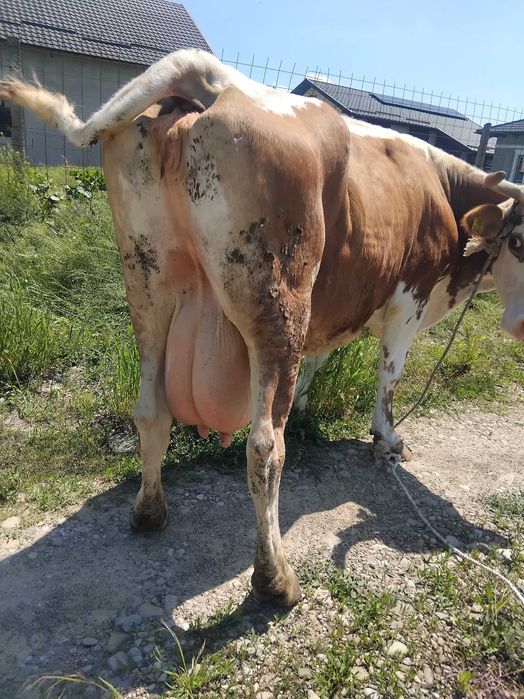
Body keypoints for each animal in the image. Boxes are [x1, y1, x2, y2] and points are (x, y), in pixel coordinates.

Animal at [1, 50, 523, 607]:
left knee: (151, 413)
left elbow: (318, 361)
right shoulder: (409, 300)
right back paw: (275, 577)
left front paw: (307, 407)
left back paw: (149, 512)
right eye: (519, 241)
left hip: (147, 287)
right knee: (264, 447)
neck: (441, 190)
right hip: (277, 304)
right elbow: (389, 377)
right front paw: (387, 439)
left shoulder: (329, 309)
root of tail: (214, 80)